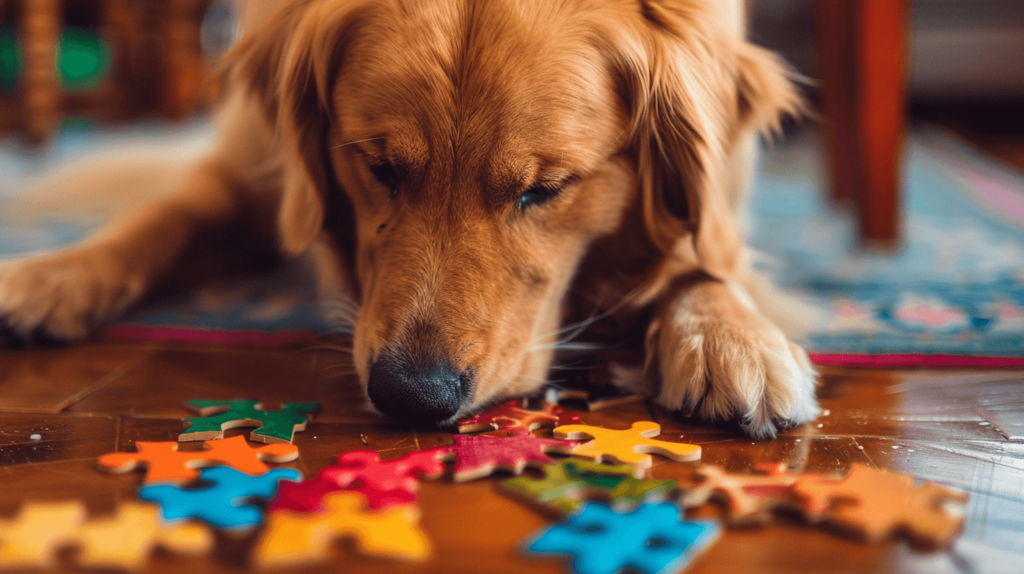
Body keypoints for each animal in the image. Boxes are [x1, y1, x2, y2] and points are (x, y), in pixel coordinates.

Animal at [0, 0, 815, 435]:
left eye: (546, 189)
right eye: (378, 166)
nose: (411, 397)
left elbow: (702, 257)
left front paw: (731, 338)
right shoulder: (251, 174)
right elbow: (162, 218)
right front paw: (51, 276)